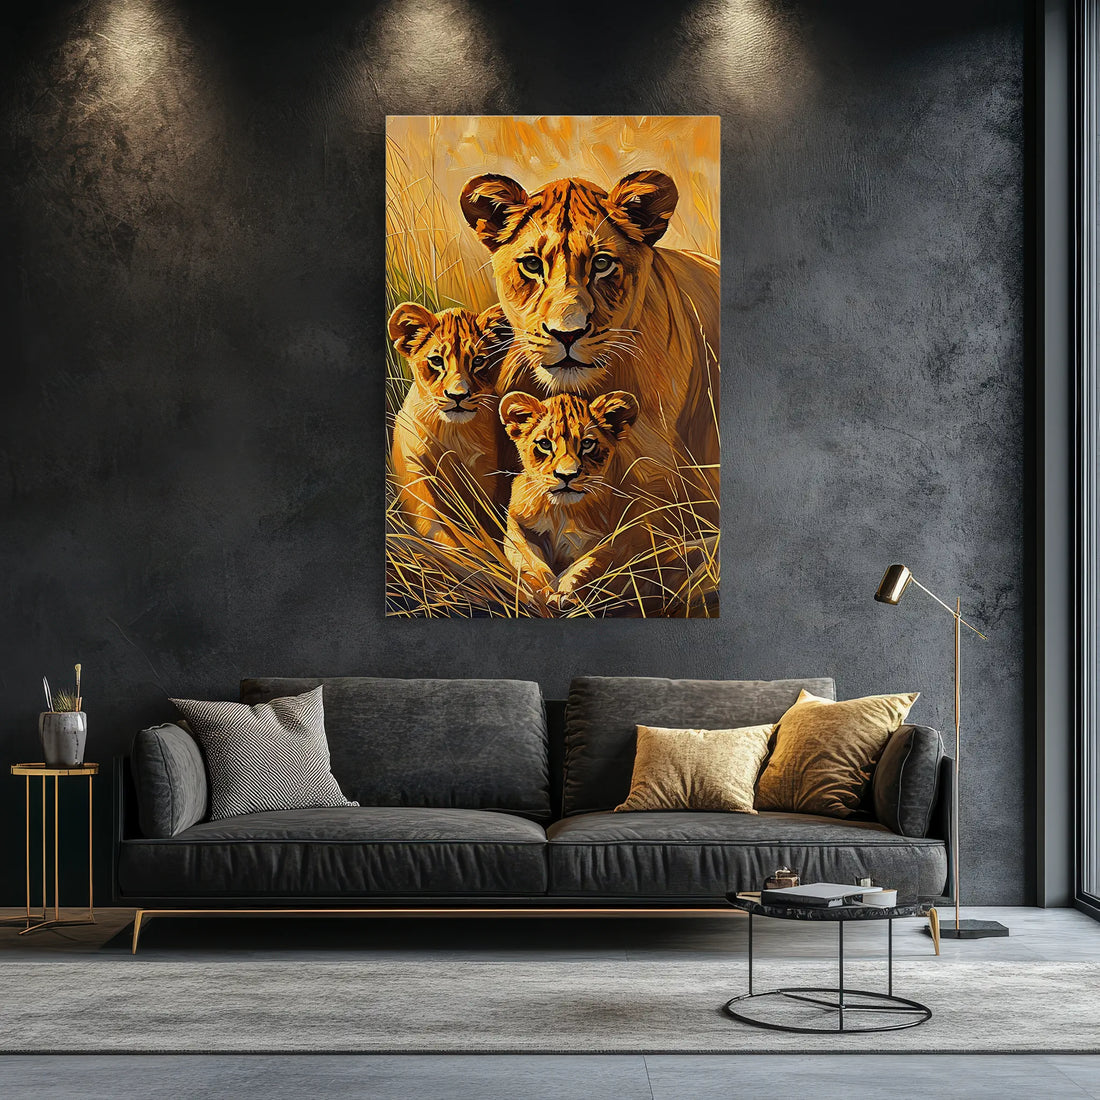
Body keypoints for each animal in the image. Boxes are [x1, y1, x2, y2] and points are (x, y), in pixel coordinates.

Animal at [388, 302, 512, 549]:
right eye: (436, 360)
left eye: (478, 361)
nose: (458, 395)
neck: (454, 434)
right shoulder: (418, 485)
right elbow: (445, 539)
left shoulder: (487, 480)